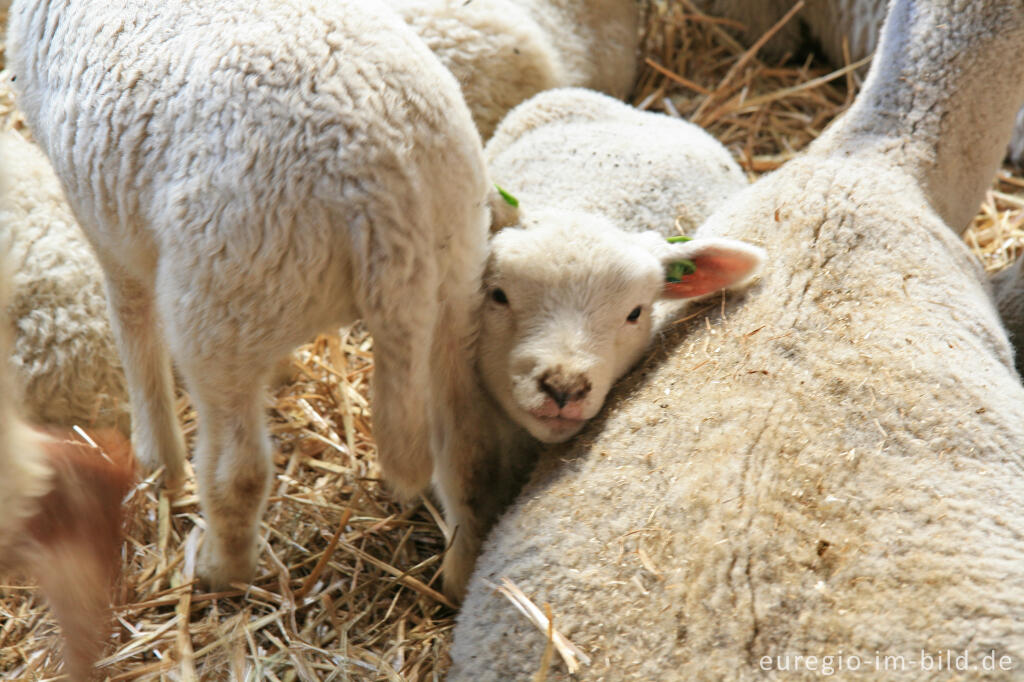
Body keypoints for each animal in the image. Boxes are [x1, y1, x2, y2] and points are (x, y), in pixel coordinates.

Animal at [6, 0, 489, 585]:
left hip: (220, 300)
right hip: (452, 273)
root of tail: (383, 181)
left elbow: (133, 327)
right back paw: (459, 575)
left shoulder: (102, 218)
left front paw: (157, 467)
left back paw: (218, 570)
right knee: (465, 445)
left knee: (238, 472)